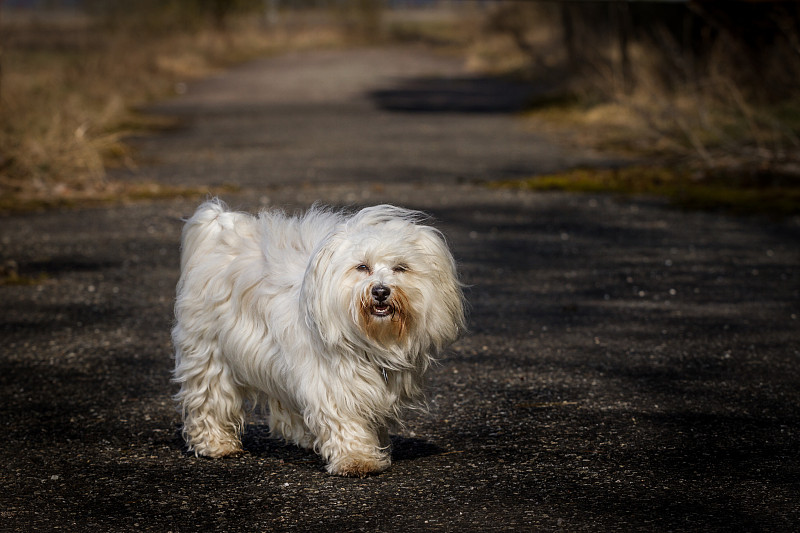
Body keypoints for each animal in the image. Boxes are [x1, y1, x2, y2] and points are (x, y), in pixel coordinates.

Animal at [172, 198, 466, 474]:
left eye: (401, 268)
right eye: (362, 267)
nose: (381, 291)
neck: (370, 338)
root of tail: (221, 232)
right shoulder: (332, 381)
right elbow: (345, 419)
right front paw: (357, 458)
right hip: (210, 354)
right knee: (210, 399)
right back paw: (215, 444)